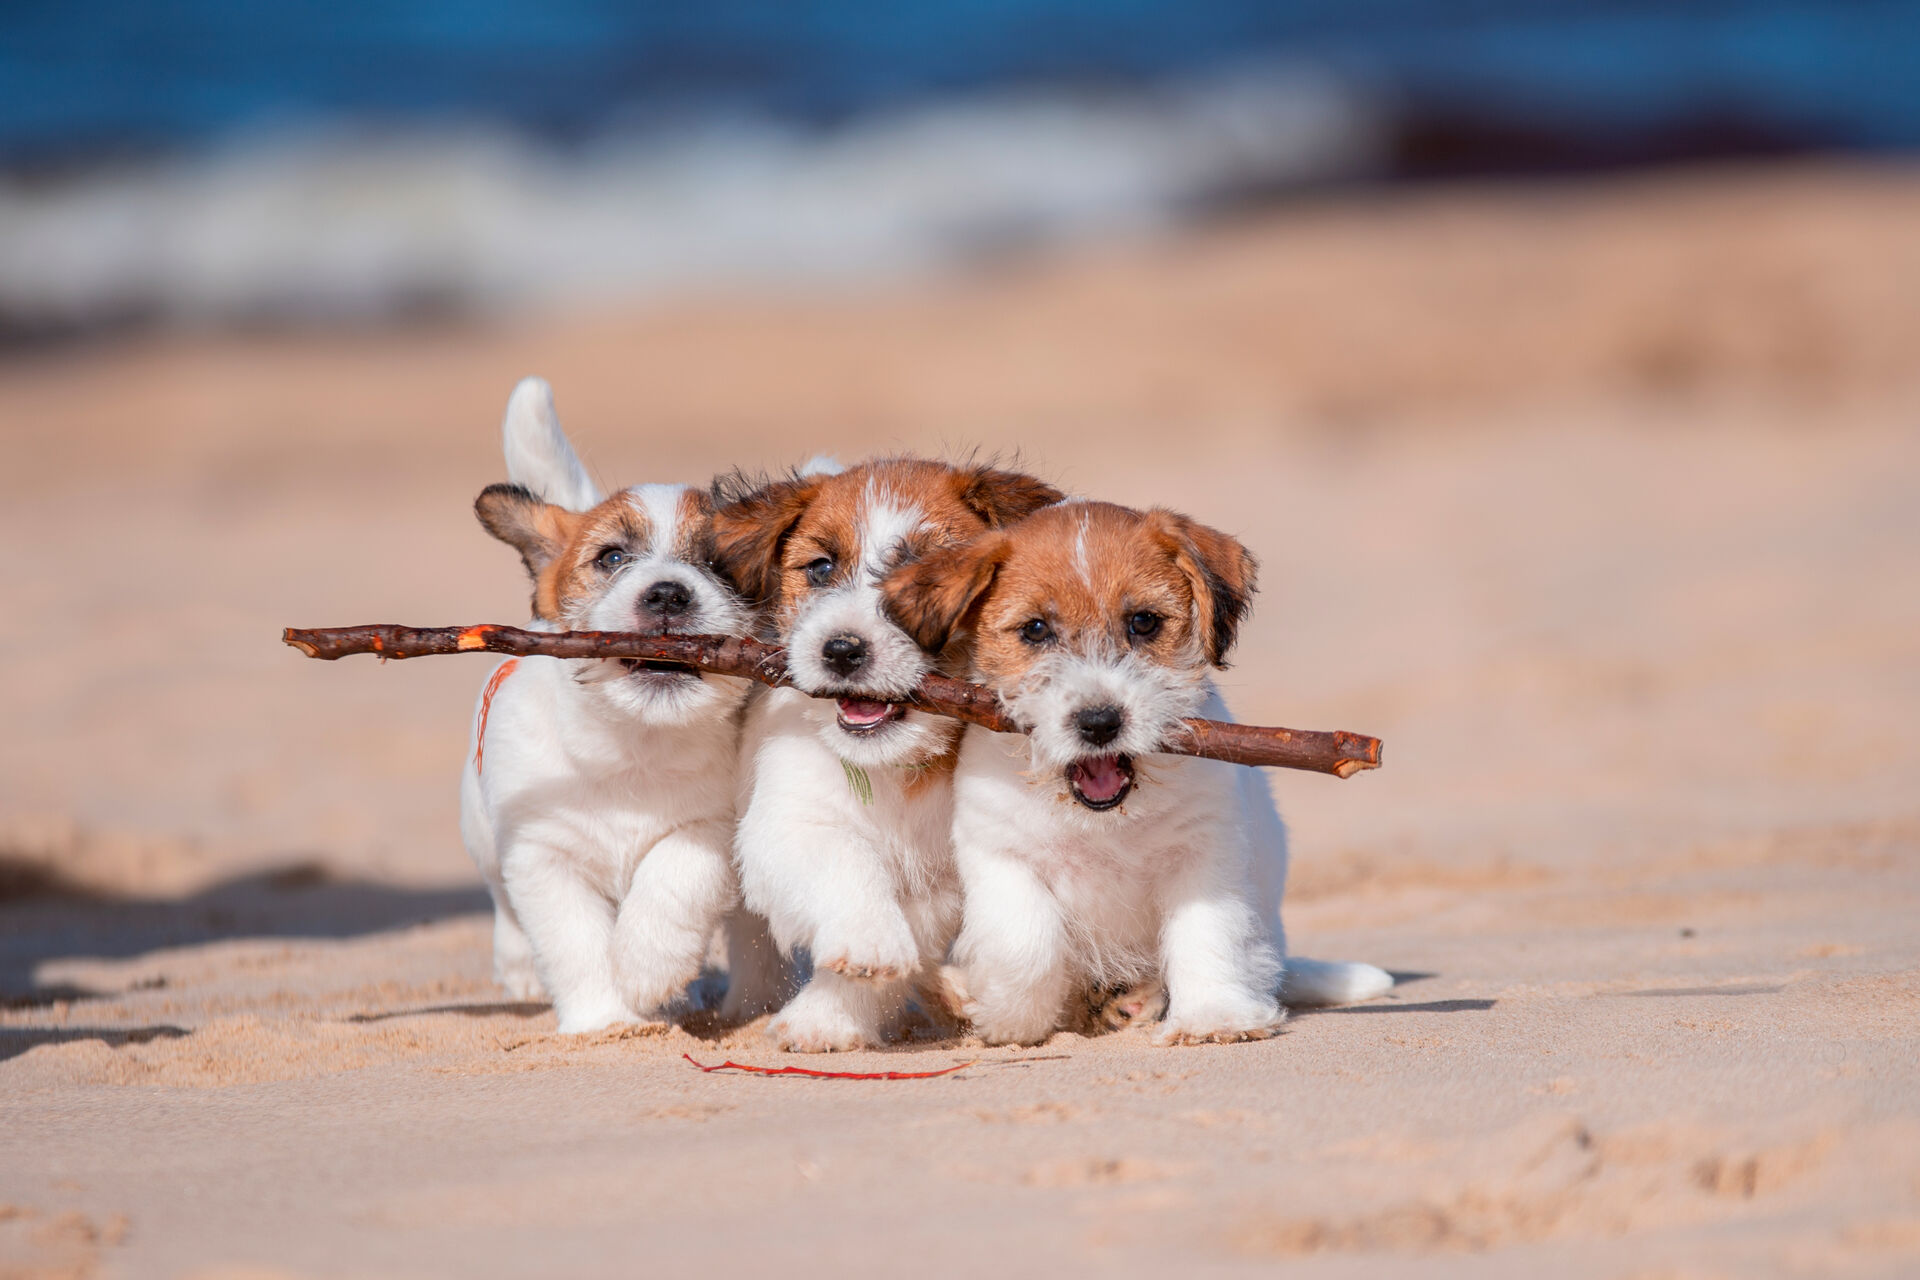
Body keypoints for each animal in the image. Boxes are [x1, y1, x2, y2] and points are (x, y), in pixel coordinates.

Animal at [458, 376, 787, 1036]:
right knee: (502, 904)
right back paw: (519, 968)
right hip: (482, 833)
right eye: (611, 558)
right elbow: (575, 942)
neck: (635, 745)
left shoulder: (711, 829)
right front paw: (606, 1019)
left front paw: (647, 971)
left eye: (720, 565)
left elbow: (671, 881)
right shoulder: (544, 856)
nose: (667, 594)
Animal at [714, 460, 1067, 1051]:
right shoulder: (786, 822)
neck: (892, 768)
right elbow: (843, 859)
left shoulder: (950, 877)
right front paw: (867, 942)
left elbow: (922, 933)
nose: (841, 650)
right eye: (821, 568)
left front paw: (828, 1017)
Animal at [879, 495, 1390, 1043]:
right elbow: (1027, 945)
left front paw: (1214, 1016)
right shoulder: (1002, 855)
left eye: (1144, 622)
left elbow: (1207, 934)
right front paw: (1007, 1016)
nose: (1099, 722)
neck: (1101, 824)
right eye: (1035, 630)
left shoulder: (1204, 855)